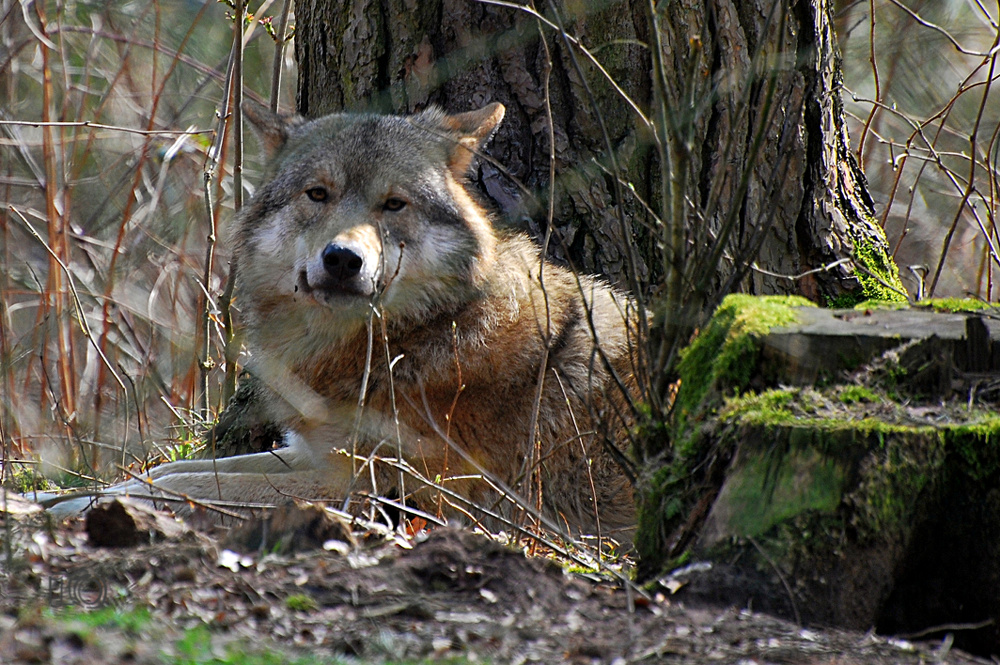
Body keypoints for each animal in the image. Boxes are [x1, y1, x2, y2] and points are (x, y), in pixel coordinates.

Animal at [39, 101, 636, 544]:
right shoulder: (311, 453)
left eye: (394, 204)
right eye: (317, 194)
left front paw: (72, 505)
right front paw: (46, 494)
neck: (418, 334)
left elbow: (185, 487)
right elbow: (165, 473)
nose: (344, 259)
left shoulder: (366, 487)